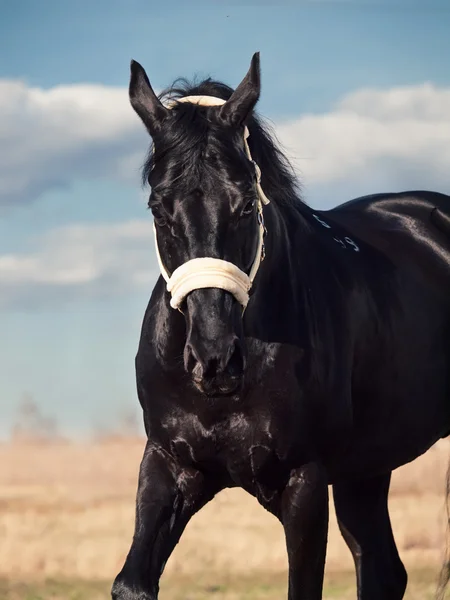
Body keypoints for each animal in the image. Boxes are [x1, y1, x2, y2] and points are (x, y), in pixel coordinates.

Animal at [110, 52, 450, 600]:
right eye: (158, 208)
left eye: (247, 202)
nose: (214, 360)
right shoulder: (169, 465)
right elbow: (133, 582)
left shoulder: (303, 480)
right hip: (365, 468)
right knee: (382, 569)